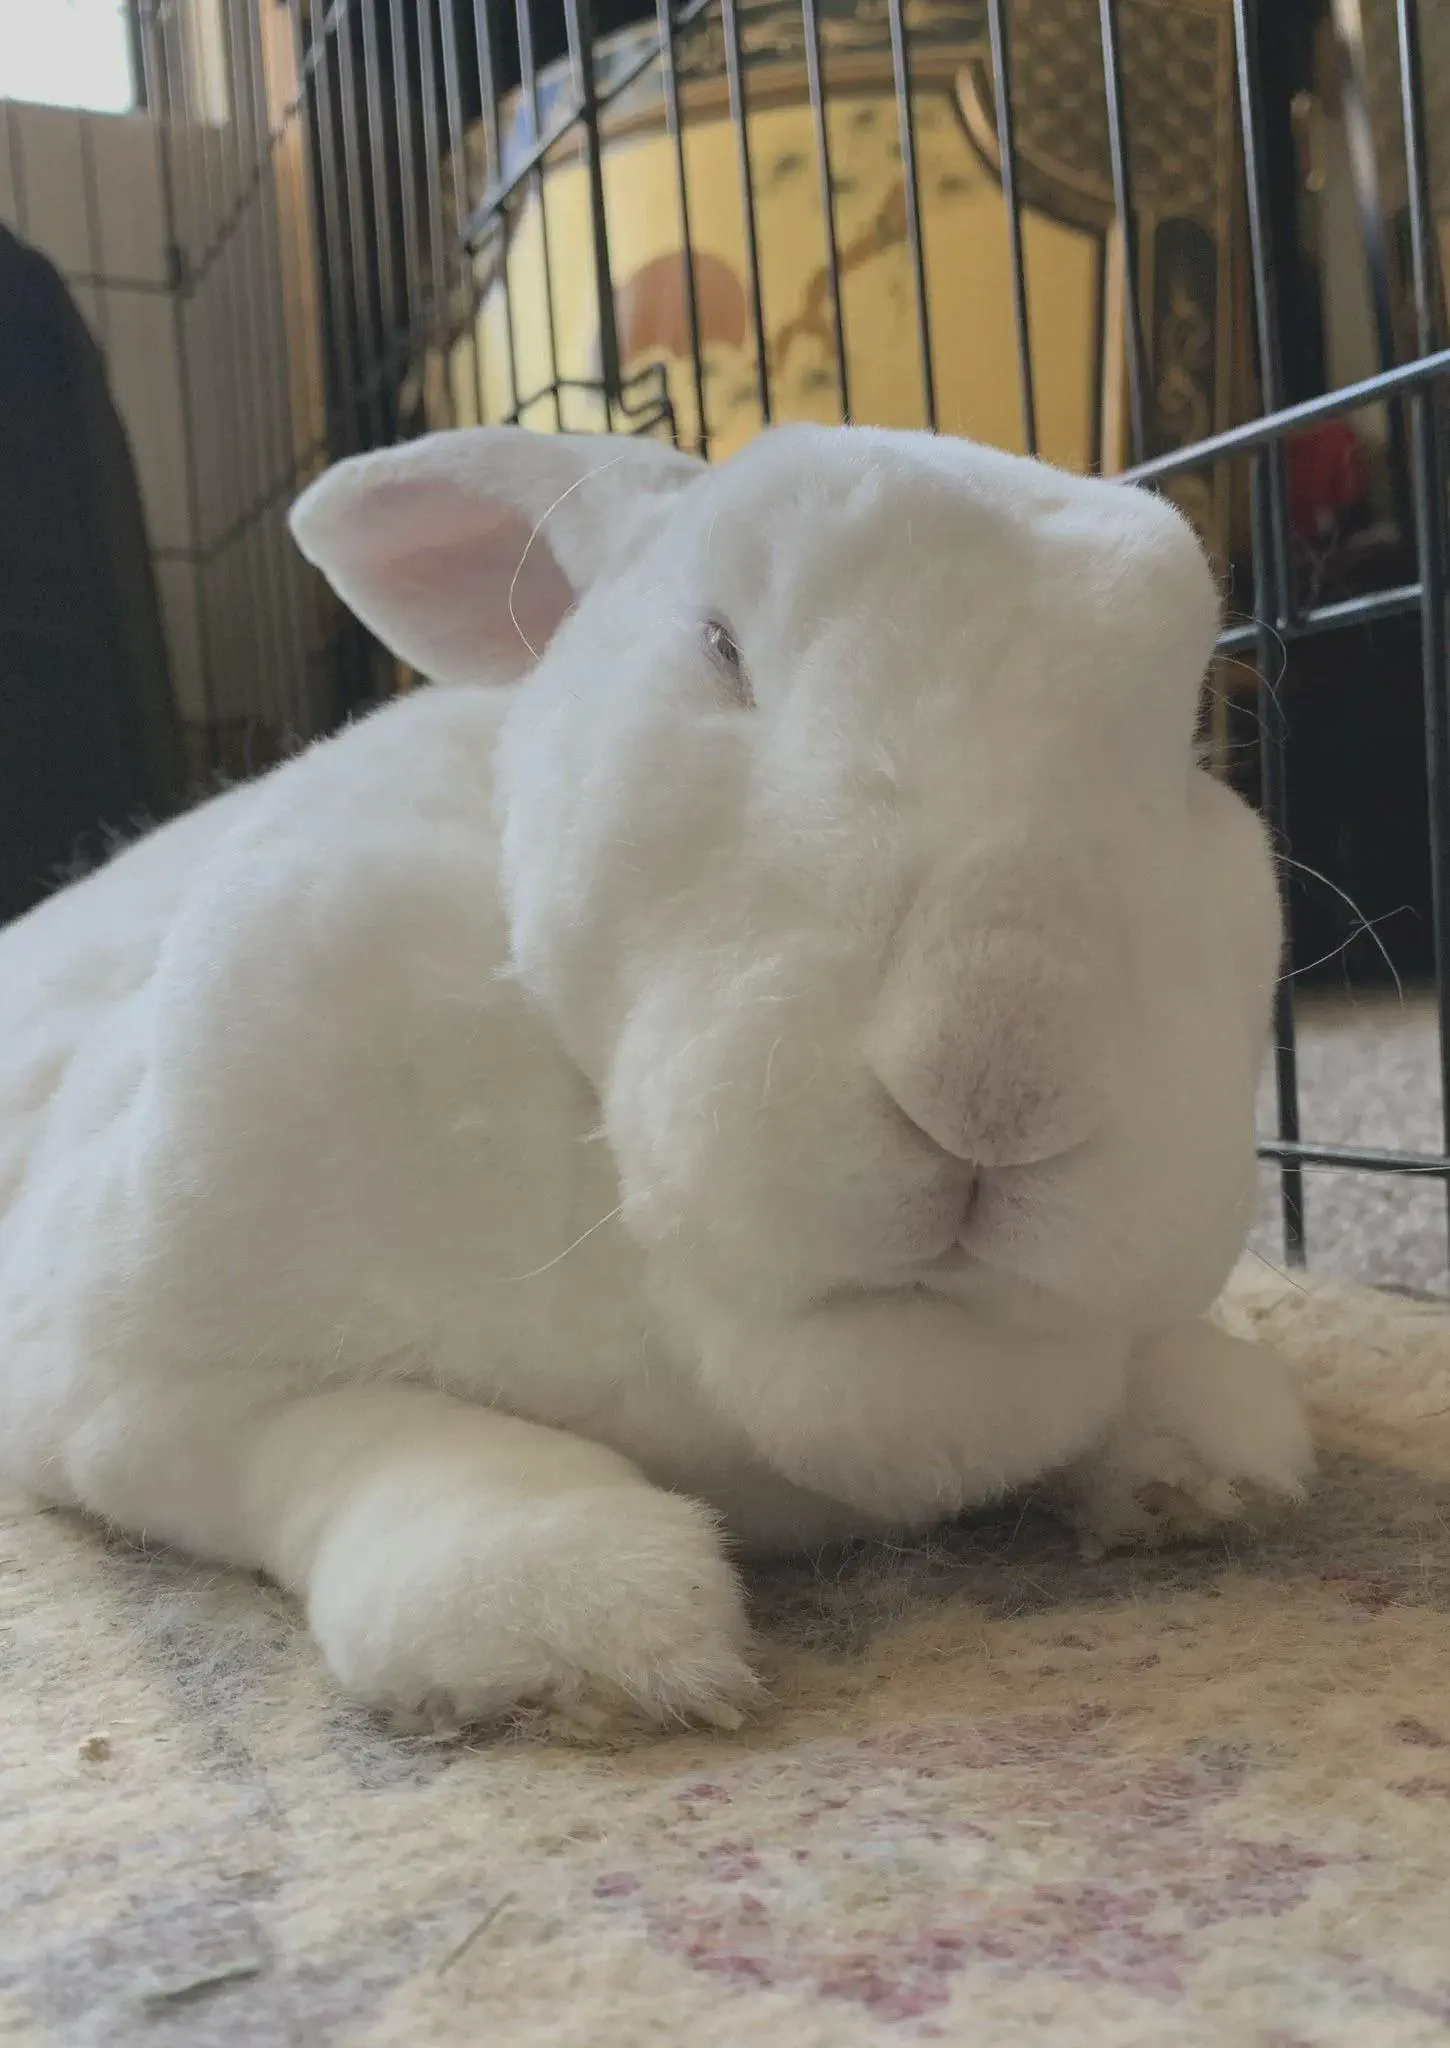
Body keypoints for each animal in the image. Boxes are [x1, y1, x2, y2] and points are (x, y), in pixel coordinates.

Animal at [0, 423, 1312, 1736]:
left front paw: (1214, 1442)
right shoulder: (130, 1382)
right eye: (721, 648)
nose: (992, 1089)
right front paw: (588, 1618)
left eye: (1192, 739)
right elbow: (360, 1425)